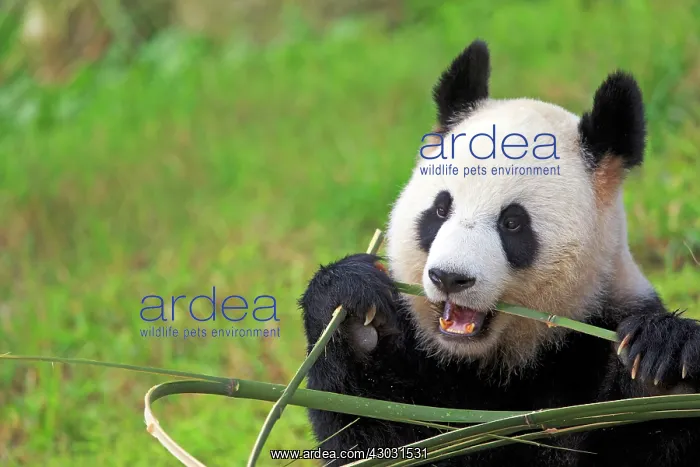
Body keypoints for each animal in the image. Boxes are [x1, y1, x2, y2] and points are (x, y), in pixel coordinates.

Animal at [299, 39, 700, 466]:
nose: (449, 278)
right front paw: (355, 315)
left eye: (512, 223)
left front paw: (664, 369)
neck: (494, 363)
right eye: (440, 209)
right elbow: (371, 435)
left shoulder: (592, 340)